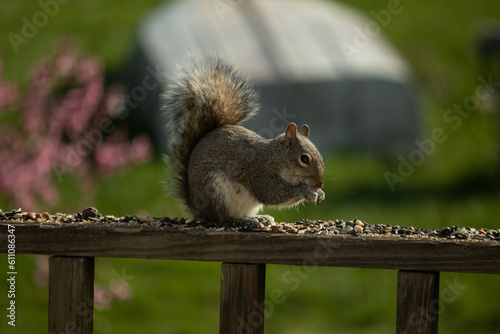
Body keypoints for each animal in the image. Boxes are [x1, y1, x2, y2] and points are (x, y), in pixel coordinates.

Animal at [164, 55, 326, 224]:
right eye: (304, 159)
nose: (319, 183)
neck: (276, 158)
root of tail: (196, 207)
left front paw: (320, 193)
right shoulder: (260, 172)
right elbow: (272, 193)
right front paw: (306, 191)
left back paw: (258, 217)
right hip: (215, 190)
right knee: (224, 217)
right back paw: (246, 221)